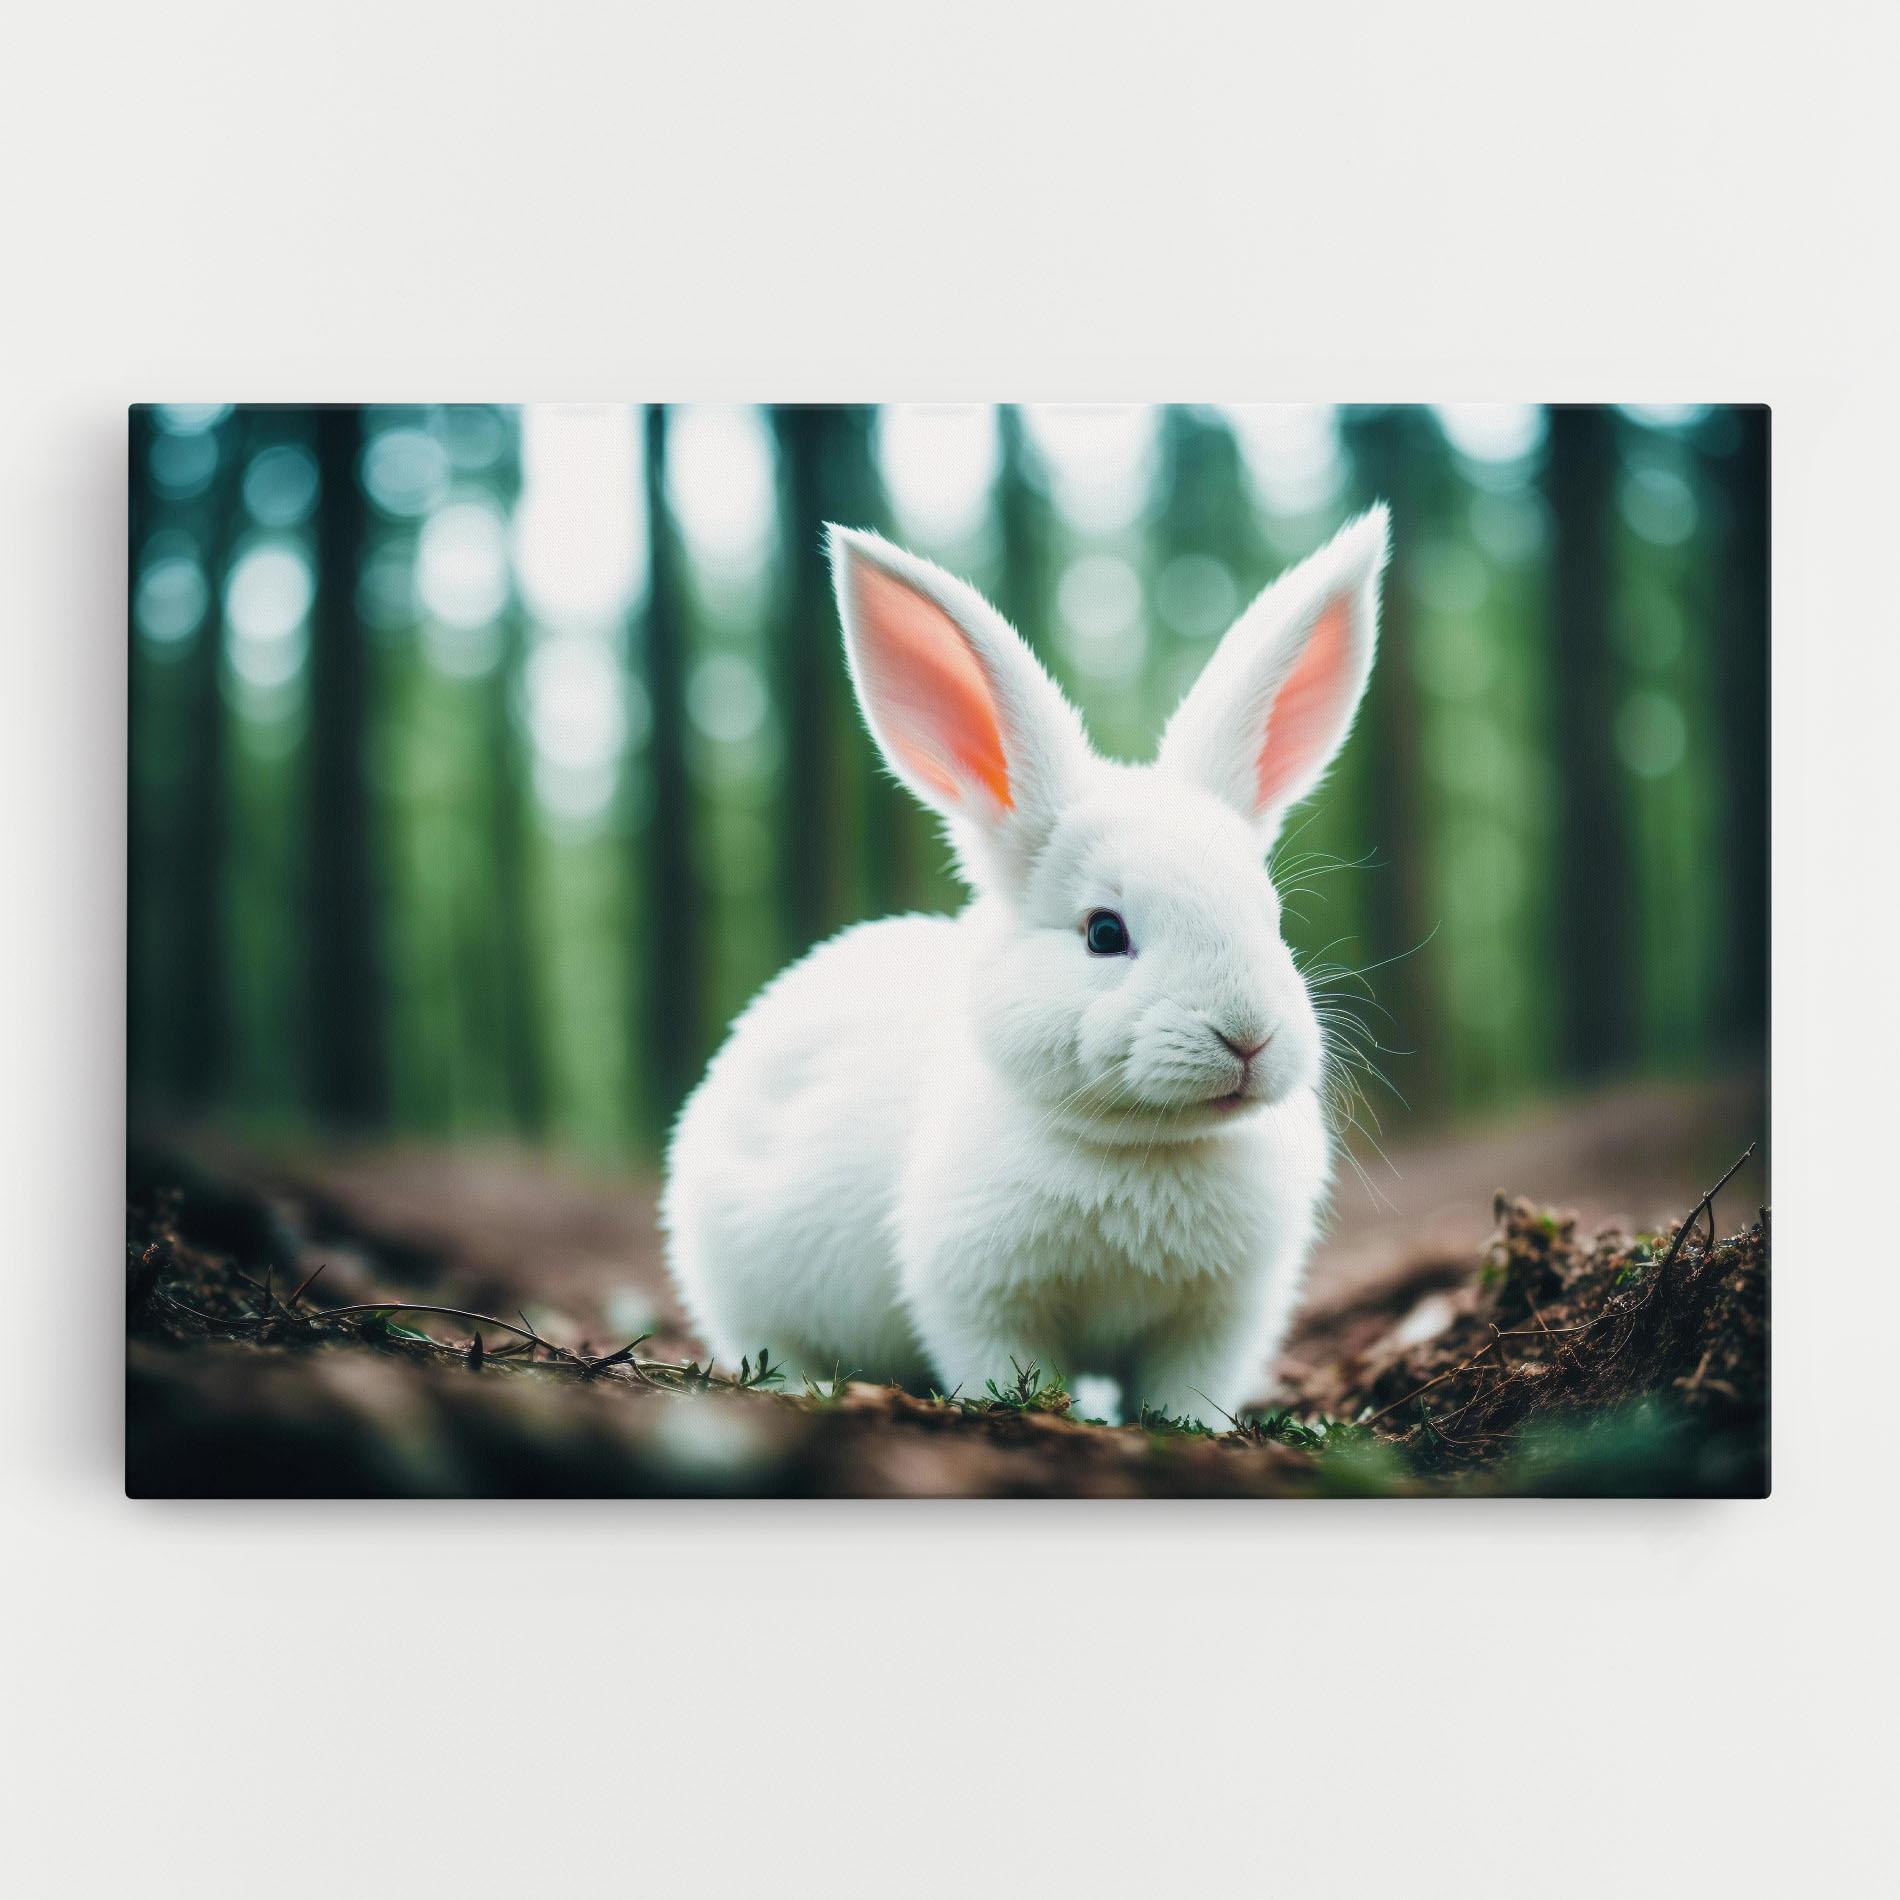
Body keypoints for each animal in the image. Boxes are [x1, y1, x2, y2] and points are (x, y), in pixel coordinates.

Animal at [662, 504, 1389, 1427]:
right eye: (1104, 933)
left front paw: (1186, 1429)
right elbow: (1005, 1363)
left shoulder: (1218, 1317)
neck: (1144, 1147)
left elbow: (1185, 1388)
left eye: (1273, 917)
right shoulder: (979, 1297)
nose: (1248, 1035)